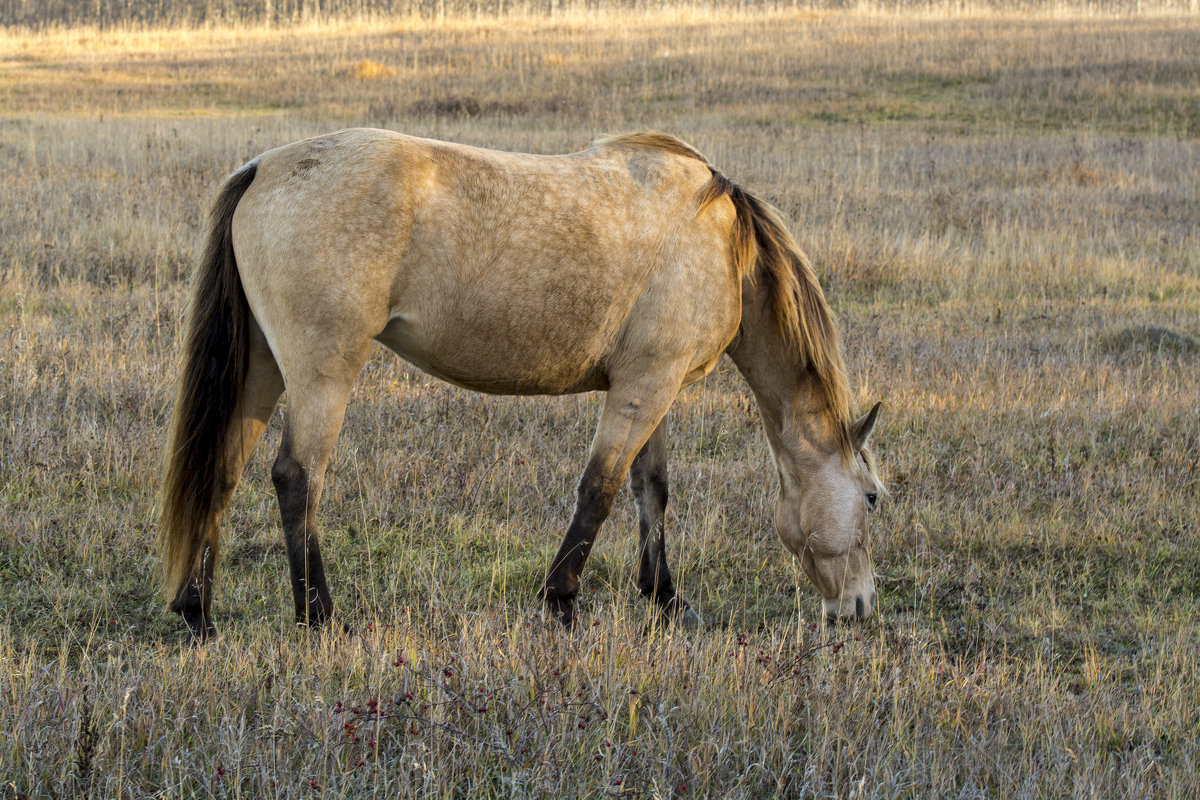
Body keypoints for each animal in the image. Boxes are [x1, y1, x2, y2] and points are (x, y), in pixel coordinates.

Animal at [159, 131, 883, 642]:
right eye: (873, 499)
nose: (860, 606)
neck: (724, 244)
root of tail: (265, 168)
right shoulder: (645, 388)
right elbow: (600, 490)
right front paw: (561, 602)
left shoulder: (653, 385)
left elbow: (651, 490)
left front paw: (666, 600)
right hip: (322, 371)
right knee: (296, 477)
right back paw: (320, 615)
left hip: (262, 367)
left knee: (222, 472)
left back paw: (198, 614)